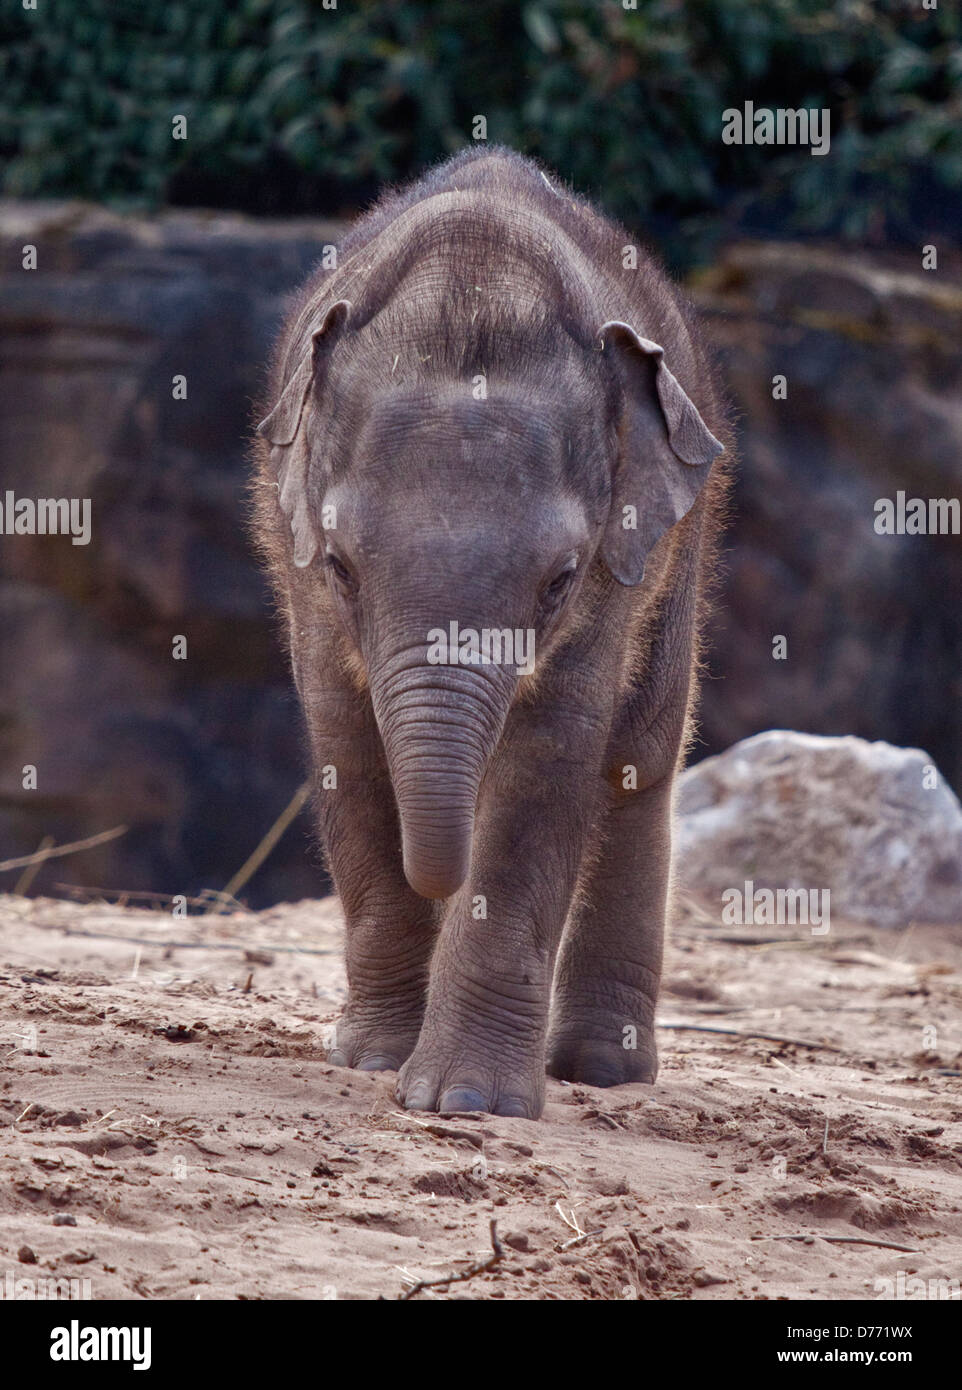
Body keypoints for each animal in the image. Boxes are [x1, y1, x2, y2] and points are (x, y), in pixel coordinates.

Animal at [255, 146, 728, 1117]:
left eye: (560, 581)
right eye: (342, 567)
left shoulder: (616, 578)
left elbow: (550, 762)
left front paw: (467, 1103)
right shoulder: (302, 572)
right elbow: (346, 745)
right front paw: (375, 1061)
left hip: (685, 539)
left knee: (641, 759)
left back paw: (602, 1071)